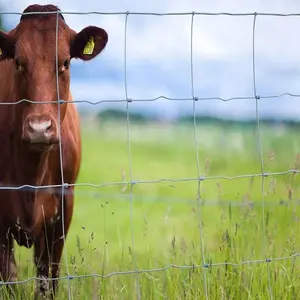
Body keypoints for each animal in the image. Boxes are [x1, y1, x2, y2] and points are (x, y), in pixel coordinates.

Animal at [0, 2, 108, 298]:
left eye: (65, 62)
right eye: (18, 62)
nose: (39, 128)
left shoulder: (63, 207)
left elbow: (48, 279)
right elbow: (9, 279)